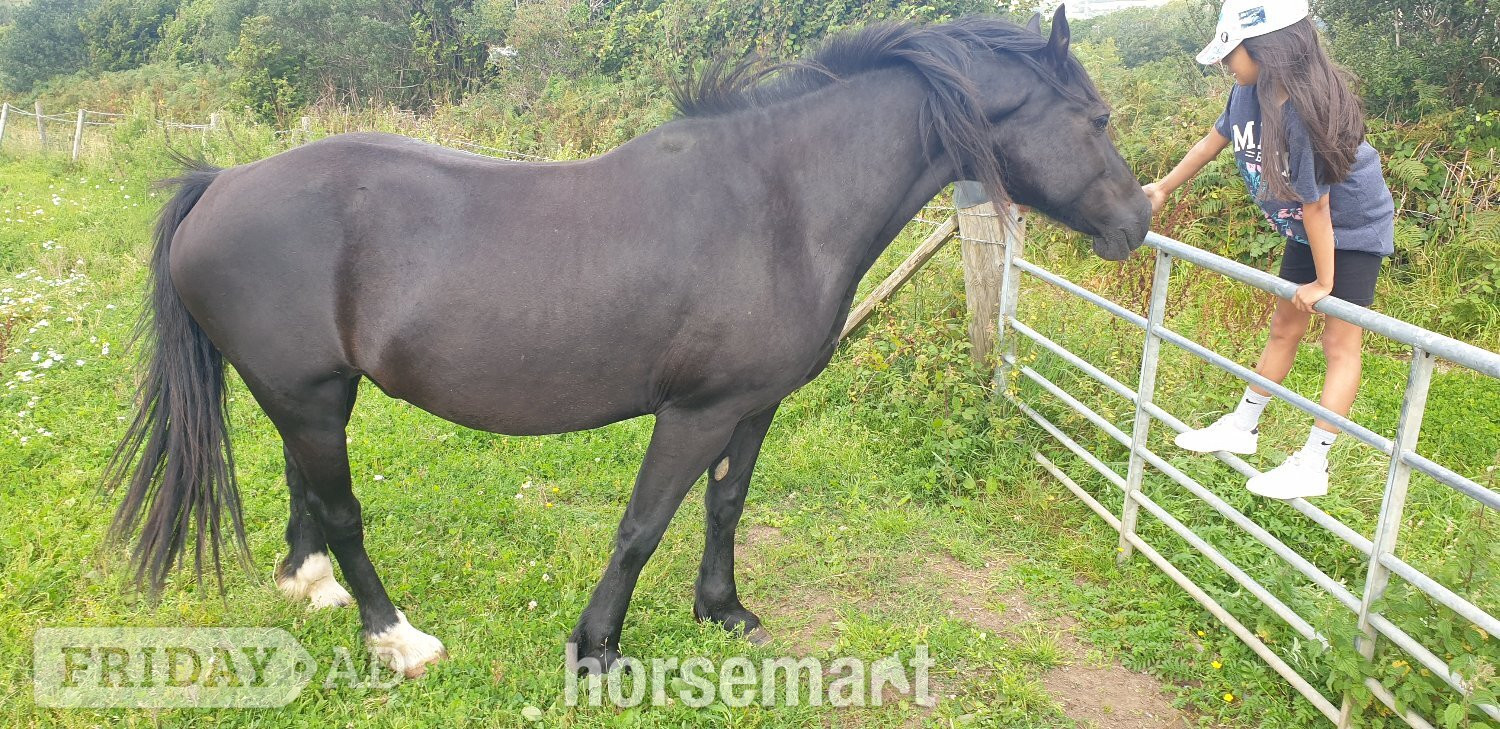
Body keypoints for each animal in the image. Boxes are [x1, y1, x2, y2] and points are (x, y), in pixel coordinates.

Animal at [107, 7, 1149, 678]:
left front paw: (723, 610)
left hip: (310, 392)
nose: (1139, 222)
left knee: (304, 491)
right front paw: (597, 647)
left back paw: (310, 587)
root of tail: (221, 180)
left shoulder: (752, 406)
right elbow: (643, 523)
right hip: (310, 394)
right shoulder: (695, 412)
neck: (779, 202)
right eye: (1097, 118)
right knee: (344, 510)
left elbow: (725, 505)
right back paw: (398, 638)